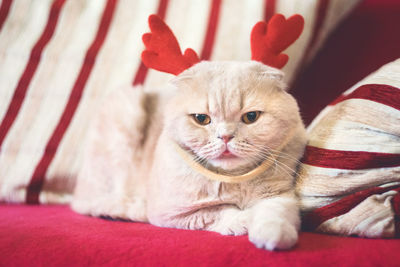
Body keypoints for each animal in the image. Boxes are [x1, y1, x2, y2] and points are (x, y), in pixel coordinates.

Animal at [72, 61, 308, 251]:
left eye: (251, 117)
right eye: (201, 119)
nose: (225, 136)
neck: (234, 180)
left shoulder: (280, 195)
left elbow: (274, 212)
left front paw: (273, 234)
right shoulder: (173, 212)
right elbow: (218, 210)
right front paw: (245, 219)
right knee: (95, 202)